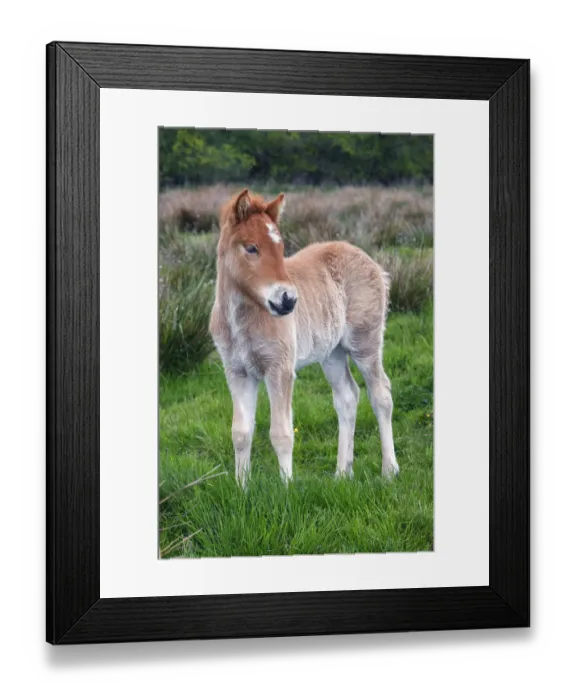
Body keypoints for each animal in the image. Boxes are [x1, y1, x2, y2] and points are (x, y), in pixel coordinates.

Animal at [209, 189, 399, 488]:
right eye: (251, 248)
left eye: (281, 248)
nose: (287, 300)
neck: (240, 320)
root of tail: (371, 262)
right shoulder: (237, 371)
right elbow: (240, 432)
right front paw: (241, 489)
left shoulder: (280, 368)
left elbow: (281, 433)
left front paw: (287, 489)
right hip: (332, 353)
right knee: (347, 397)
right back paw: (342, 474)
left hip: (365, 341)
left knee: (381, 394)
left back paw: (389, 470)